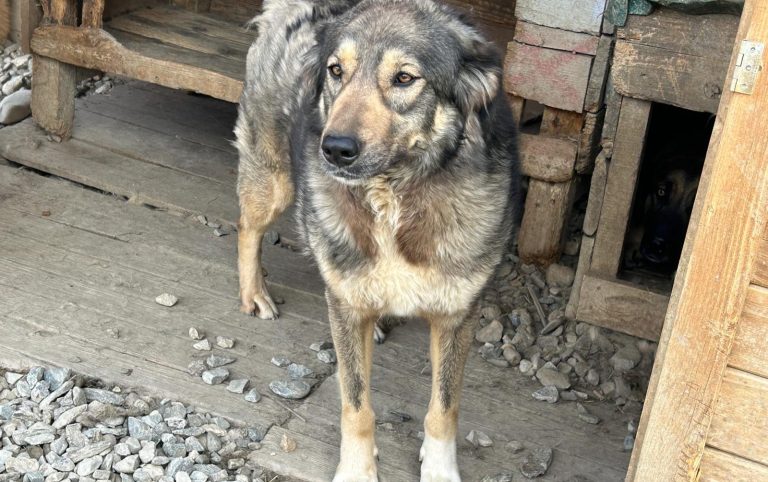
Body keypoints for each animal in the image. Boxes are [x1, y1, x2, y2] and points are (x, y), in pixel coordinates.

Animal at [235, 1, 520, 479]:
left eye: (404, 78)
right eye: (336, 71)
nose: (335, 148)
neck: (393, 198)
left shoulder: (457, 316)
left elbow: (444, 410)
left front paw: (439, 469)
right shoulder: (345, 308)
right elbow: (356, 405)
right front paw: (356, 469)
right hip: (273, 181)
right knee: (247, 226)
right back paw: (253, 292)